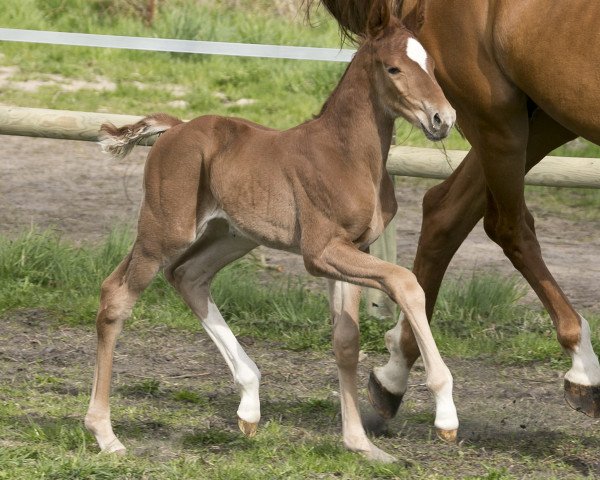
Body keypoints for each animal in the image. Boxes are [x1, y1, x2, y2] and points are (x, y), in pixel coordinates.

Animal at [85, 10, 454, 462]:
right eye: (394, 68)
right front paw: (445, 415)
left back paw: (249, 405)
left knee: (186, 276)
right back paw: (105, 434)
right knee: (118, 296)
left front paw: (360, 444)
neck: (347, 154)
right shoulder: (321, 252)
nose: (443, 119)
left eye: (432, 66)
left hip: (232, 235)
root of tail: (176, 127)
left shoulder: (353, 248)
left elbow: (346, 342)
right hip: (165, 231)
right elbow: (407, 283)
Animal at [316, 0, 600, 424]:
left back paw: (393, 376)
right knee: (504, 225)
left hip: (542, 115)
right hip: (499, 116)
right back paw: (583, 369)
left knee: (446, 209)